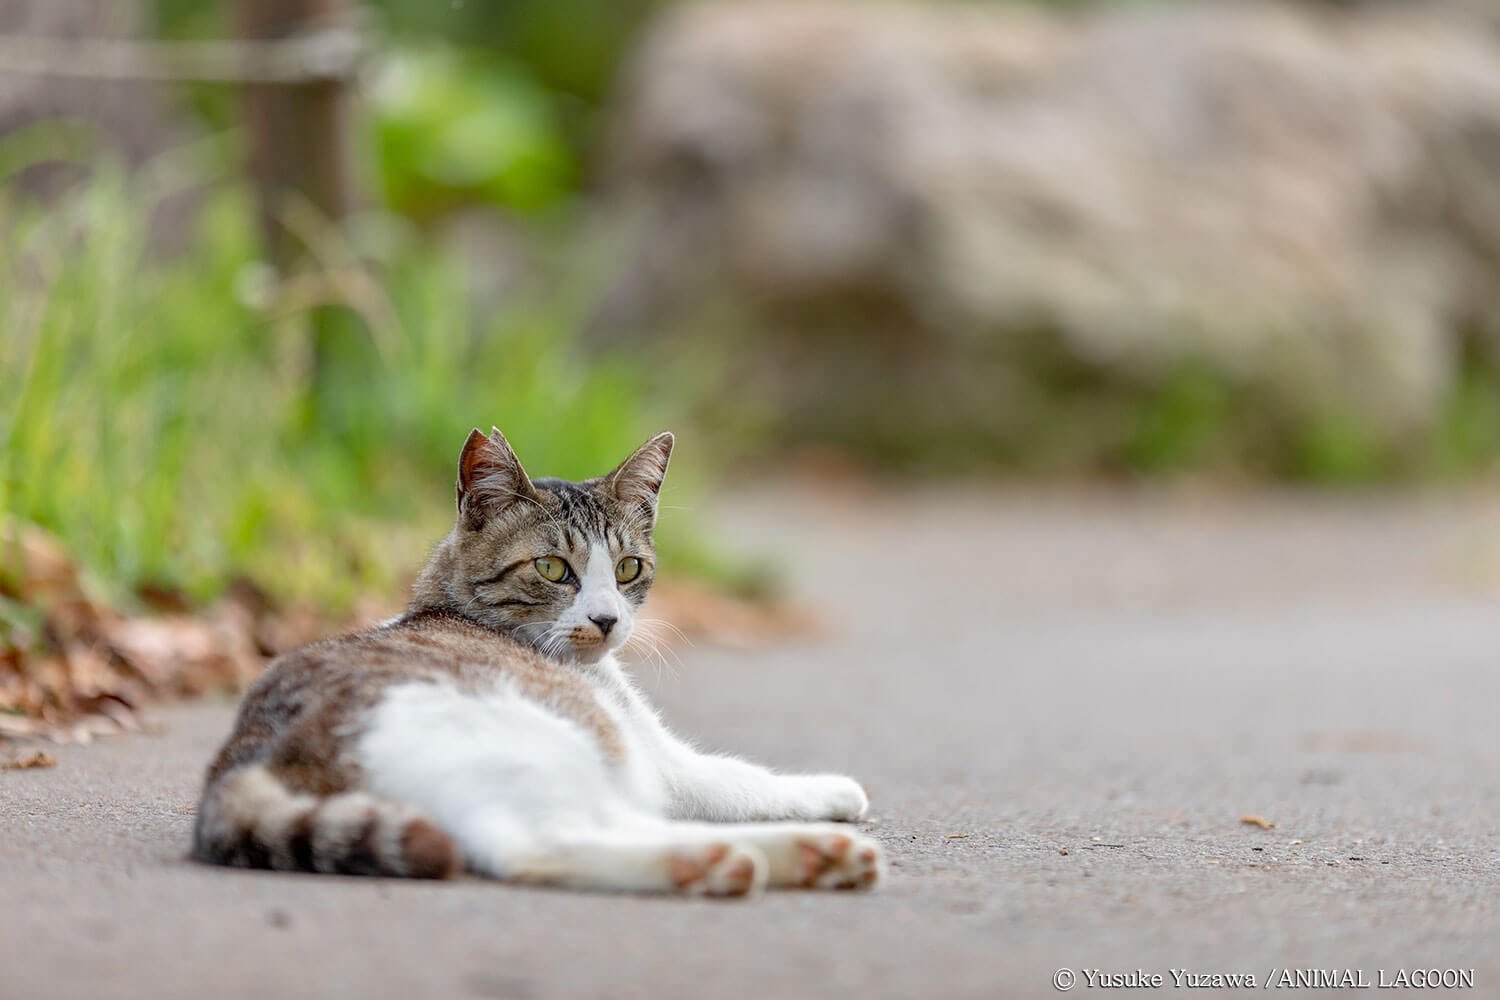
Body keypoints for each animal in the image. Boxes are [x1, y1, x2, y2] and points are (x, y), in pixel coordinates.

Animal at [193, 425, 882, 893]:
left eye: (627, 568)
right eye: (553, 569)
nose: (606, 618)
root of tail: (245, 756)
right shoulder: (664, 760)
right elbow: (740, 778)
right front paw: (831, 788)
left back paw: (805, 857)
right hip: (554, 744)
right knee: (541, 843)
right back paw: (733, 860)